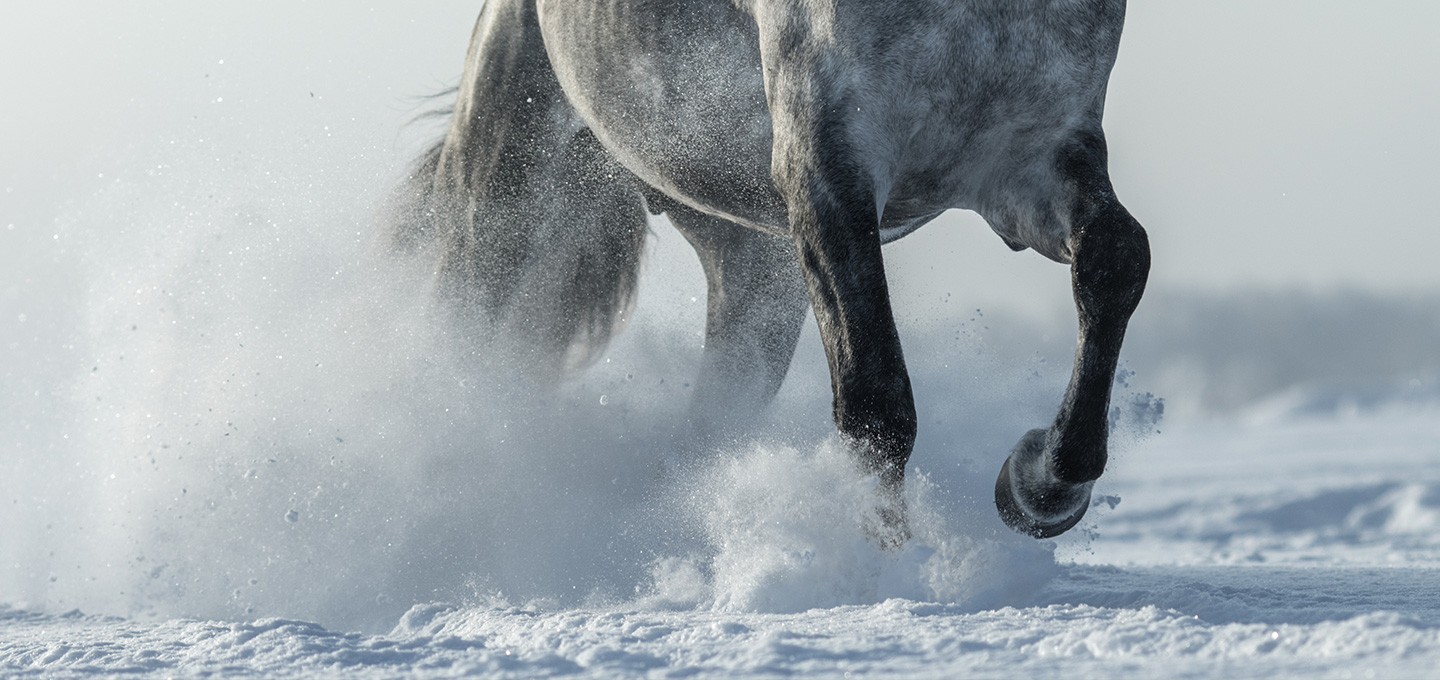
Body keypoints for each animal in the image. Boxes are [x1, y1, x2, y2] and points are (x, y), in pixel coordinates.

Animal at [388, 0, 1152, 541]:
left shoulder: (1033, 156)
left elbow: (1118, 258)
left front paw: (1041, 487)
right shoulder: (827, 163)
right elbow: (876, 394)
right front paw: (881, 569)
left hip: (755, 270)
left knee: (704, 432)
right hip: (502, 190)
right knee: (452, 342)